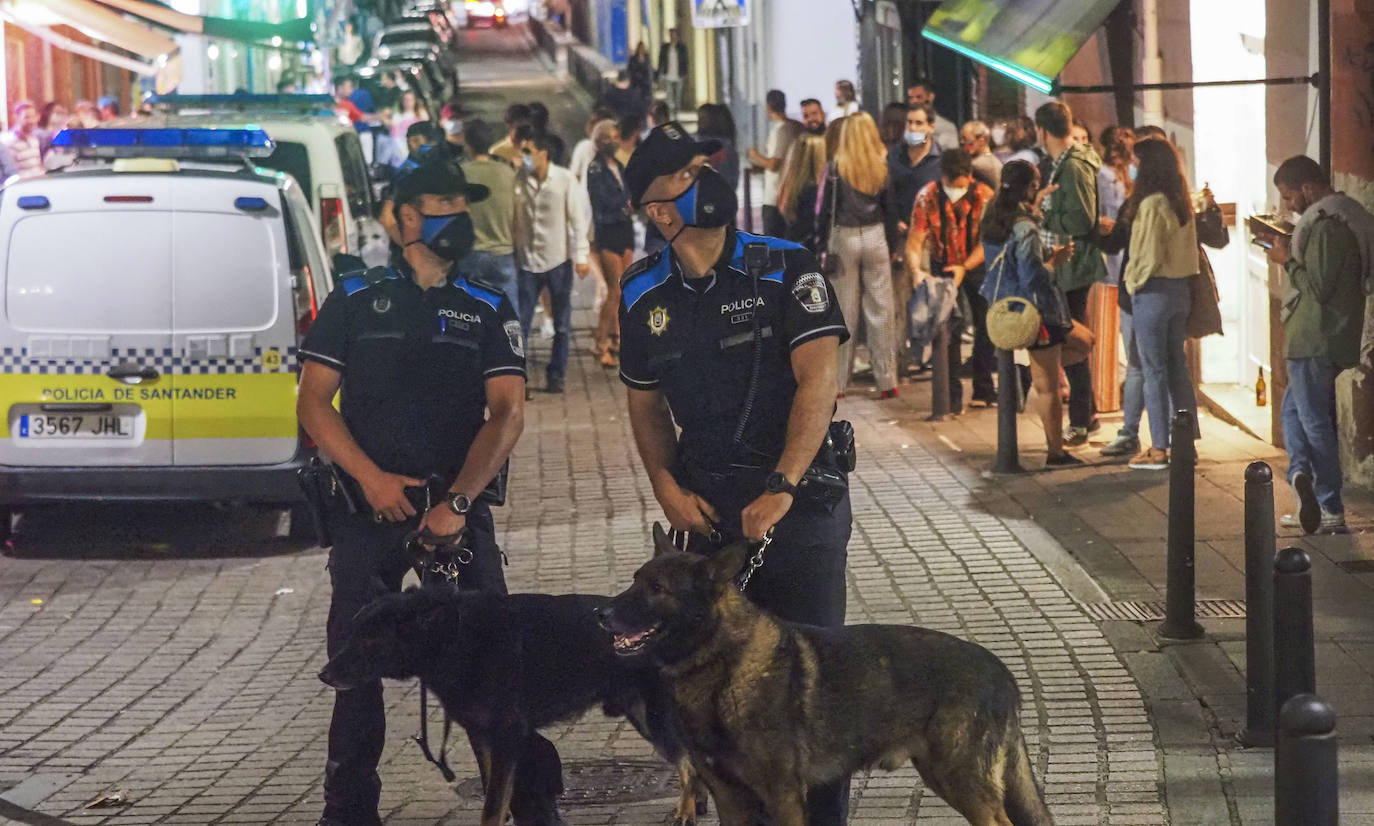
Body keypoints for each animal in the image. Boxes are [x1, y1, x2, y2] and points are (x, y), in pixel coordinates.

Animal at [318, 588, 708, 824]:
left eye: (368, 640)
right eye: (350, 635)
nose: (322, 675)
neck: (454, 636)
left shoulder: (506, 736)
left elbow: (492, 804)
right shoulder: (482, 736)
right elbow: (495, 787)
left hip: (652, 717)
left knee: (687, 761)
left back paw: (687, 810)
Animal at [596, 522, 1055, 824]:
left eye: (657, 589)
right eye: (634, 580)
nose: (601, 614)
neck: (722, 668)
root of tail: (1002, 670)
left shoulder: (782, 796)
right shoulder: (730, 798)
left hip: (959, 779)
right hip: (944, 775)